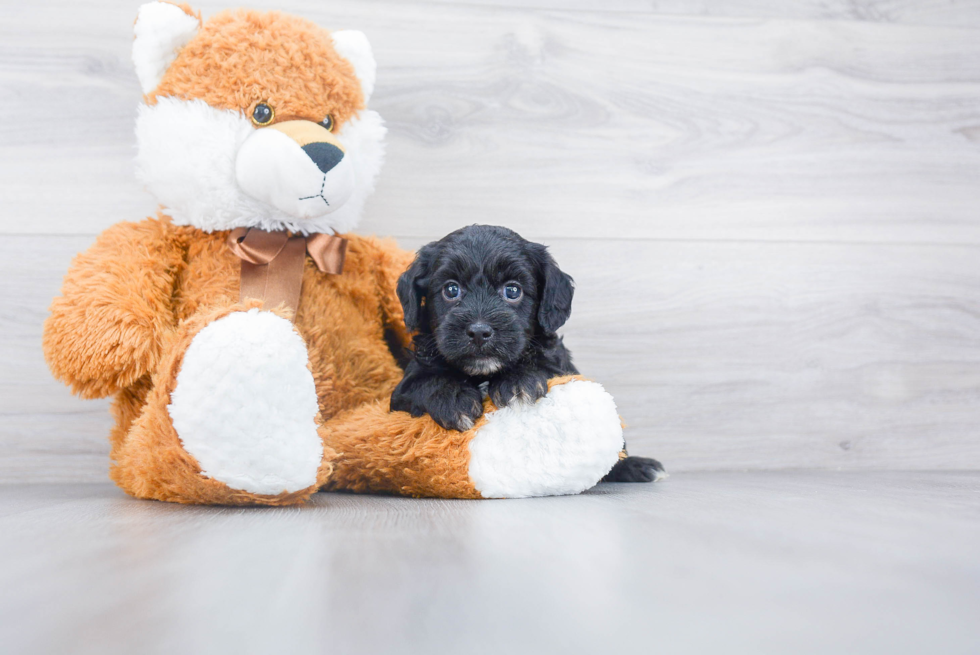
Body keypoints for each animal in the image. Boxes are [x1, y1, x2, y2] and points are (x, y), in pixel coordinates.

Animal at [388, 227, 660, 486]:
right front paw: (454, 399)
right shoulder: (405, 388)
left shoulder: (560, 367)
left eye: (512, 290)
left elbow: (539, 365)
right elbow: (425, 381)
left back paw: (636, 466)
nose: (479, 332)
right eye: (451, 289)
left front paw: (517, 382)